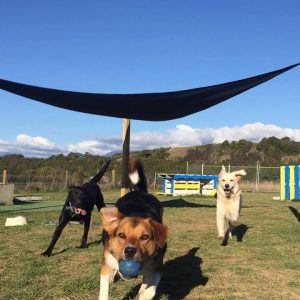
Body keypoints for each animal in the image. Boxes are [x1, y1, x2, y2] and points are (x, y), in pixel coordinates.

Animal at [99, 161, 168, 300]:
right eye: (121, 235)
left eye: (145, 237)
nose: (130, 251)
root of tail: (141, 192)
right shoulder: (106, 264)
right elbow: (104, 289)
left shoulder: (157, 267)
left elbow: (150, 290)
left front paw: (143, 294)